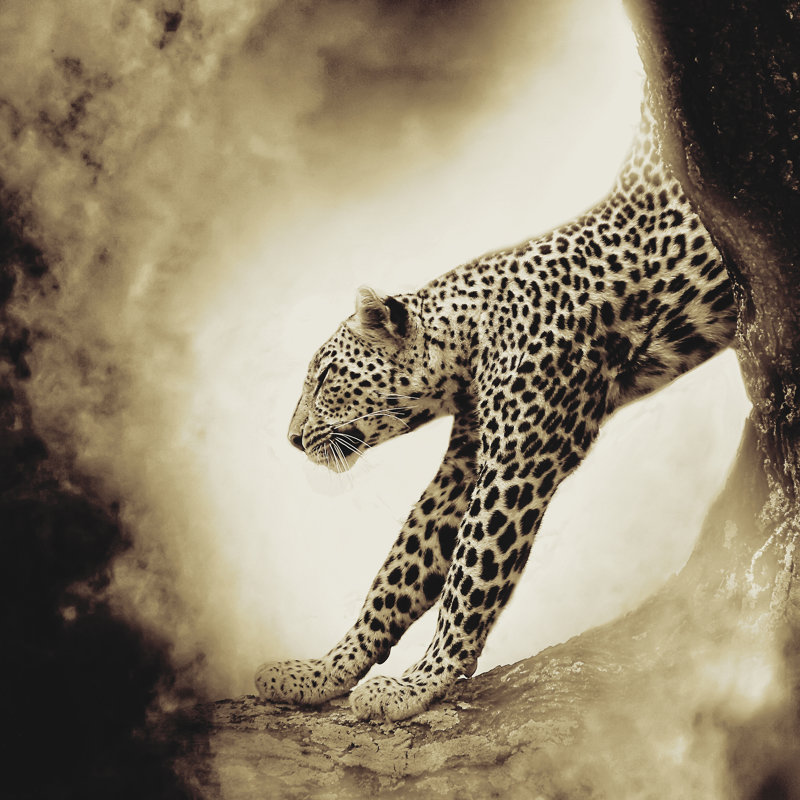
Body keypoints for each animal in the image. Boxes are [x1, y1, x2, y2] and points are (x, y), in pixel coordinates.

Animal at [255, 103, 736, 722]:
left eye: (323, 379)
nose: (292, 439)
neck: (468, 342)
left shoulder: (515, 466)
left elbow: (469, 577)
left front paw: (420, 681)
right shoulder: (463, 465)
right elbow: (402, 569)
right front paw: (324, 670)